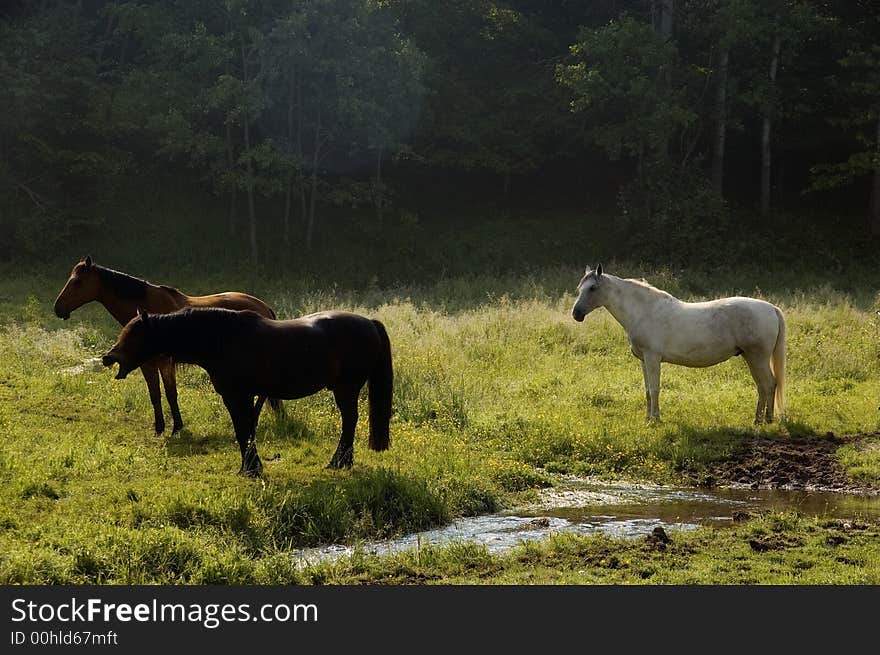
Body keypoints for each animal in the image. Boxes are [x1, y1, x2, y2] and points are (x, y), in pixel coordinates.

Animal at [53, 256, 280, 436]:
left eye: (77, 282)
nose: (58, 308)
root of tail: (264, 308)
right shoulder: (147, 365)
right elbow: (155, 395)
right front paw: (160, 427)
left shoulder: (165, 363)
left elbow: (171, 394)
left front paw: (177, 427)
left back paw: (253, 419)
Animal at [101, 308, 394, 476]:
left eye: (134, 335)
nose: (108, 357)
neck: (222, 339)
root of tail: (370, 323)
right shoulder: (240, 397)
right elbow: (245, 431)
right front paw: (249, 467)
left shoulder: (238, 395)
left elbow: (244, 431)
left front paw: (252, 469)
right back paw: (343, 462)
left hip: (346, 389)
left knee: (349, 422)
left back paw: (338, 462)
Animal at [576, 266, 788, 422]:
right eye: (580, 288)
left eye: (592, 288)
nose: (576, 313)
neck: (644, 311)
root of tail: (771, 308)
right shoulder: (644, 360)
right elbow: (647, 390)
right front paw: (647, 418)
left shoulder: (652, 358)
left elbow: (655, 389)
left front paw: (655, 420)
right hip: (751, 358)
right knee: (762, 386)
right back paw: (759, 419)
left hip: (757, 358)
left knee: (769, 384)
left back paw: (766, 420)